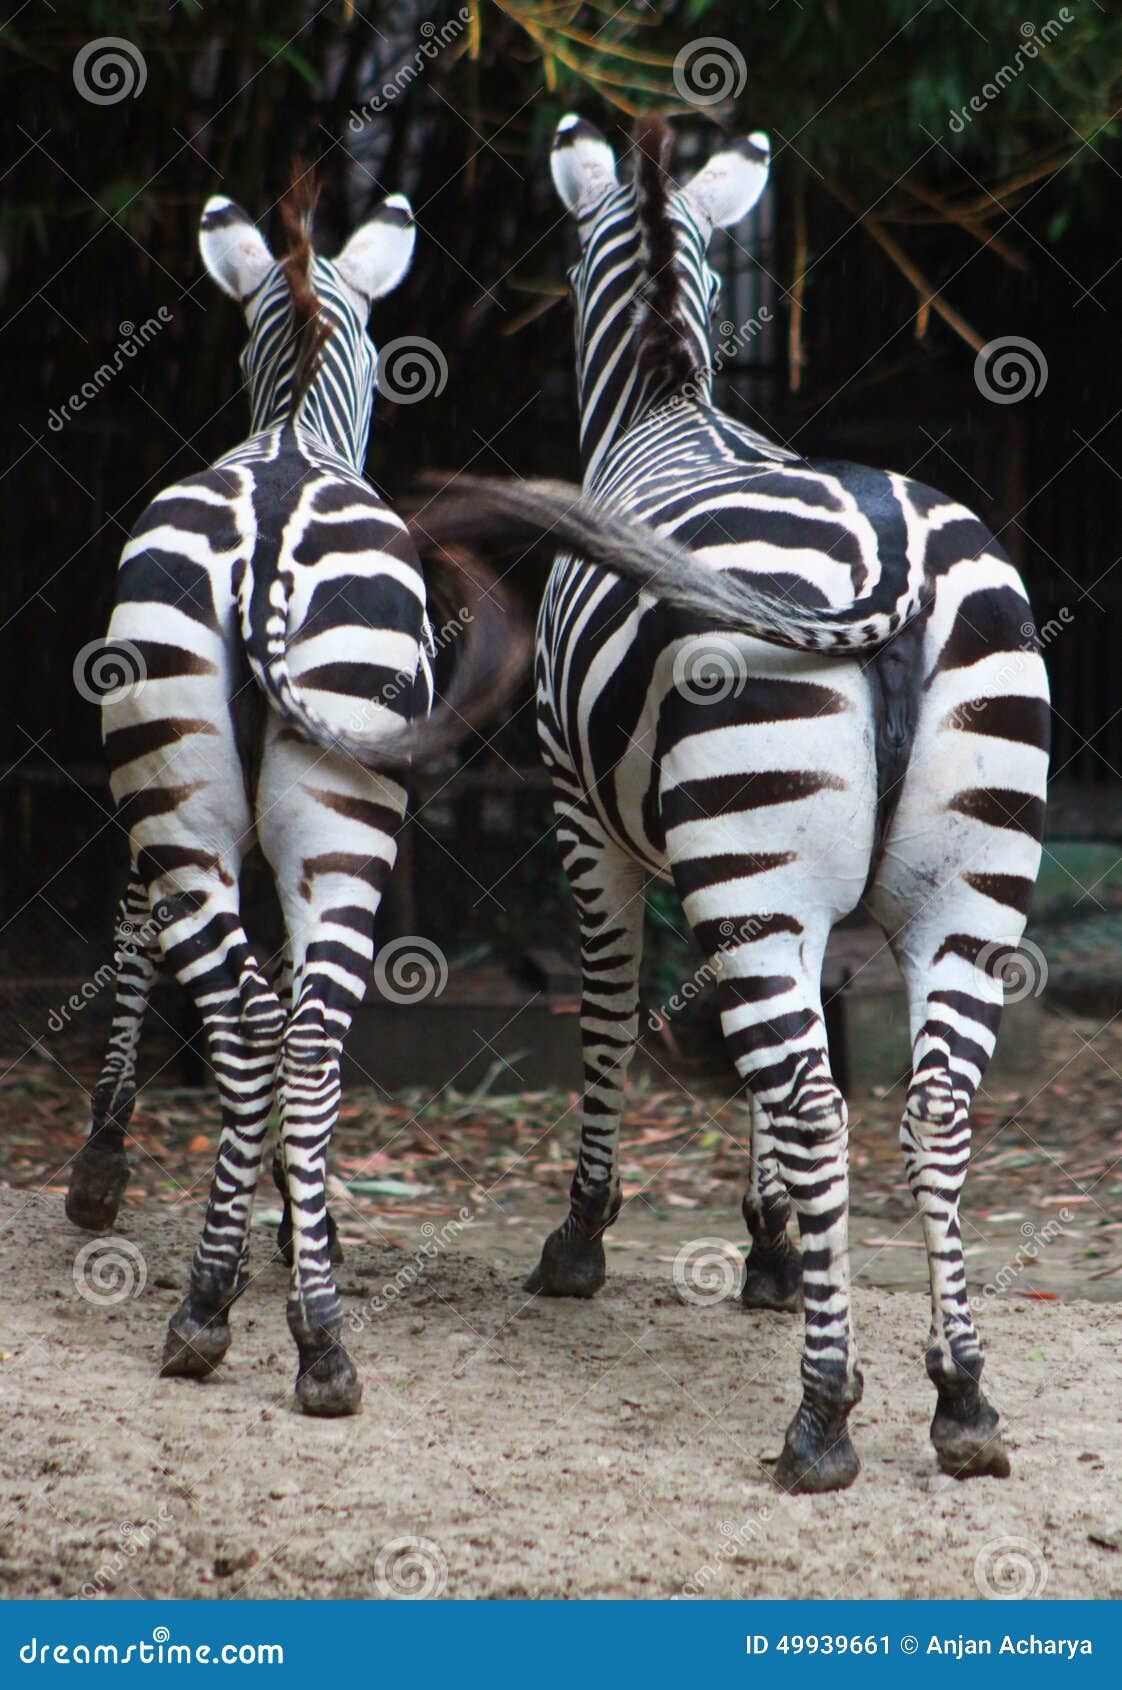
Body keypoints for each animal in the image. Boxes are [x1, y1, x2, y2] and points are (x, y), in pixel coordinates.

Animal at [65, 170, 521, 1416]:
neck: (291, 426)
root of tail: (270, 521)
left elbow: (136, 937)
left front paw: (113, 1170)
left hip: (227, 799)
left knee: (262, 1018)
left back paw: (231, 1310)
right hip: (325, 812)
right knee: (292, 1027)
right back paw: (296, 1328)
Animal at [411, 115, 1050, 1491]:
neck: (666, 399)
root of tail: (891, 546)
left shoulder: (584, 821)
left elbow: (608, 1011)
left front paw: (584, 1236)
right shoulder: (763, 887)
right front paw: (772, 1251)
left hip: (757, 861)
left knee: (818, 1103)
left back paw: (823, 1417)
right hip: (962, 887)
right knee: (932, 1107)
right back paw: (962, 1399)